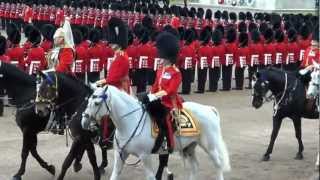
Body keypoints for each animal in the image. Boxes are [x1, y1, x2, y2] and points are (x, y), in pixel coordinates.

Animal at [80, 85, 230, 180]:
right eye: (88, 100)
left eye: (97, 103)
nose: (84, 122)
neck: (129, 122)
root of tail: (209, 109)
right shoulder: (121, 154)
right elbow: (115, 175)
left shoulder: (145, 156)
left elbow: (151, 177)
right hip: (189, 147)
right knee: (194, 167)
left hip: (209, 146)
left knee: (218, 165)